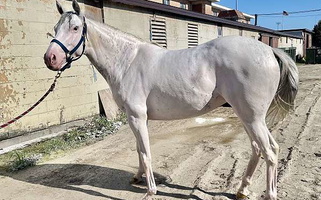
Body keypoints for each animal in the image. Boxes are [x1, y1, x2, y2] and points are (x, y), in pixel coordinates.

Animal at [44, 0, 298, 199]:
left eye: (75, 28)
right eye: (55, 28)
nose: (51, 58)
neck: (127, 61)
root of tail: (269, 51)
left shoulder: (136, 117)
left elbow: (146, 153)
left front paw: (150, 191)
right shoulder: (138, 119)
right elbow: (139, 149)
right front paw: (137, 177)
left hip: (252, 118)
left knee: (270, 152)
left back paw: (268, 194)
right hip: (247, 116)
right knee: (259, 149)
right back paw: (242, 190)